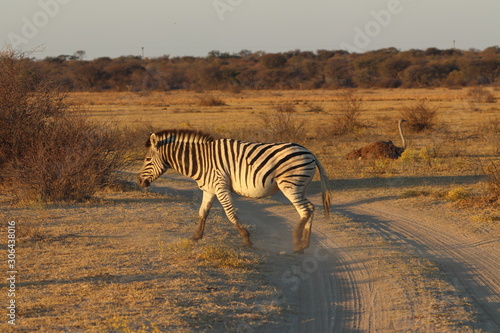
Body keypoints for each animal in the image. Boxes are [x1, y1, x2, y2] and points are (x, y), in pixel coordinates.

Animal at [137, 129, 332, 252]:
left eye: (147, 160)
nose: (138, 181)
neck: (202, 161)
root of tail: (309, 152)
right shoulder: (209, 189)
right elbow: (202, 213)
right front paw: (195, 237)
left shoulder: (220, 186)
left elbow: (231, 214)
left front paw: (247, 239)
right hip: (301, 186)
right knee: (310, 209)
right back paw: (305, 244)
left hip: (290, 185)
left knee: (305, 210)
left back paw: (297, 243)